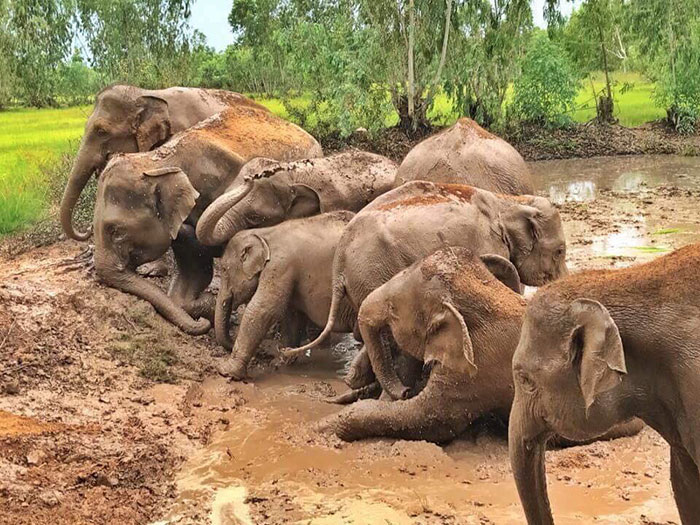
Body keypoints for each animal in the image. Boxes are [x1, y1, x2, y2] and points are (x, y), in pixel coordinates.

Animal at [215, 211, 357, 380]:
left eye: (224, 269)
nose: (263, 352)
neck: (264, 233)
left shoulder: (280, 266)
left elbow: (262, 310)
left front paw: (225, 371)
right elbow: (292, 315)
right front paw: (280, 364)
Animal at [322, 247, 524, 441]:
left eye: (392, 308)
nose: (405, 392)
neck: (489, 292)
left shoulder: (477, 370)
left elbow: (428, 419)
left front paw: (320, 428)